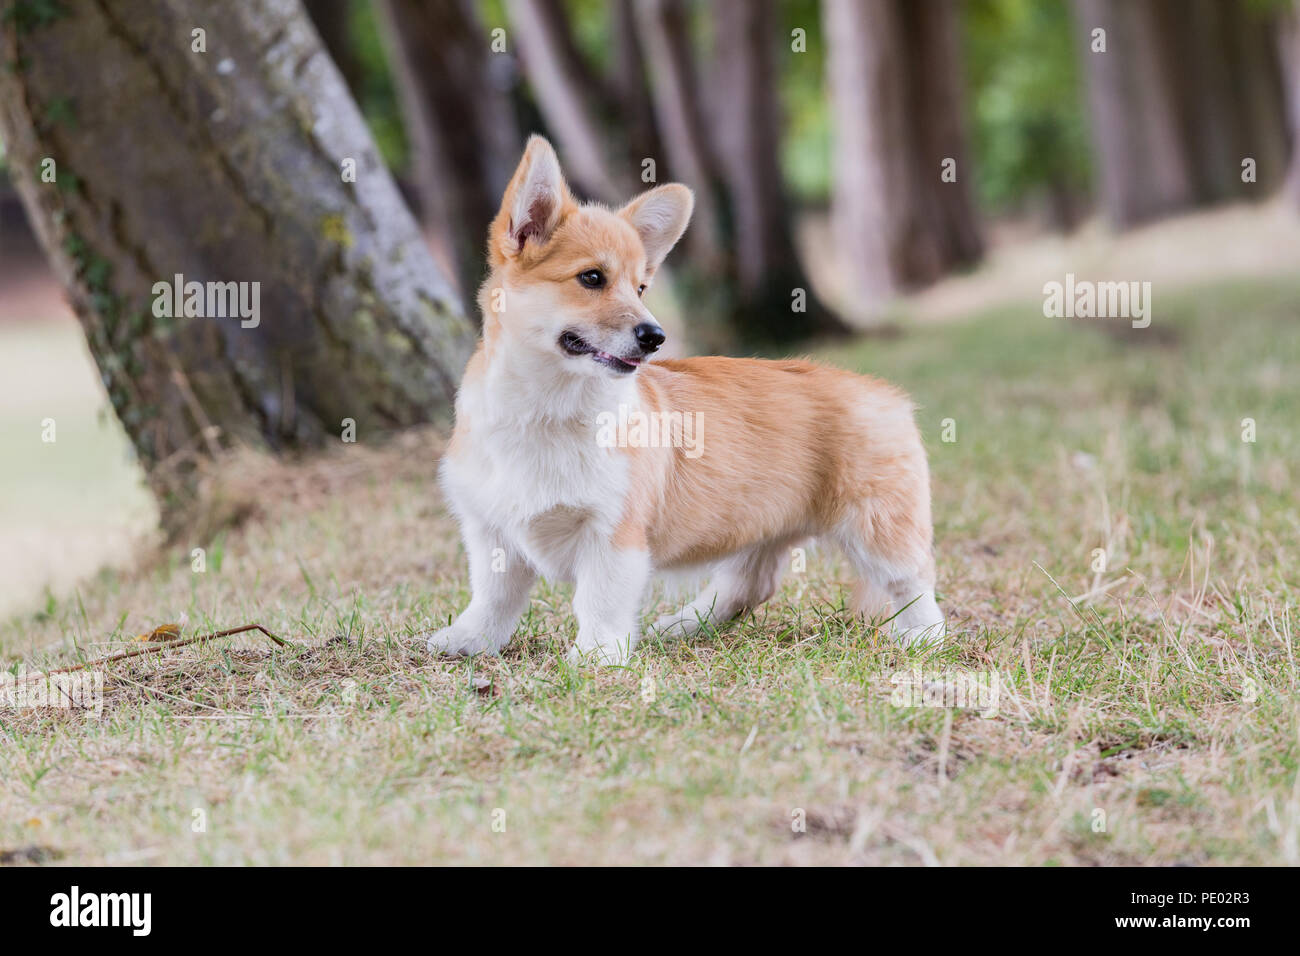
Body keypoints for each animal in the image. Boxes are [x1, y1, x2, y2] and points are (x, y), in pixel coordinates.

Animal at [426, 136, 946, 665]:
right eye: (591, 278)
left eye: (640, 287)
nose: (655, 337)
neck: (548, 408)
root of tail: (885, 393)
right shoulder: (492, 533)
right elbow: (494, 596)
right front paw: (469, 639)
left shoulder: (614, 535)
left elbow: (598, 600)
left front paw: (596, 656)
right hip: (760, 528)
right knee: (748, 585)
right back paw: (682, 625)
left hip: (879, 529)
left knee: (914, 583)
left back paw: (925, 639)